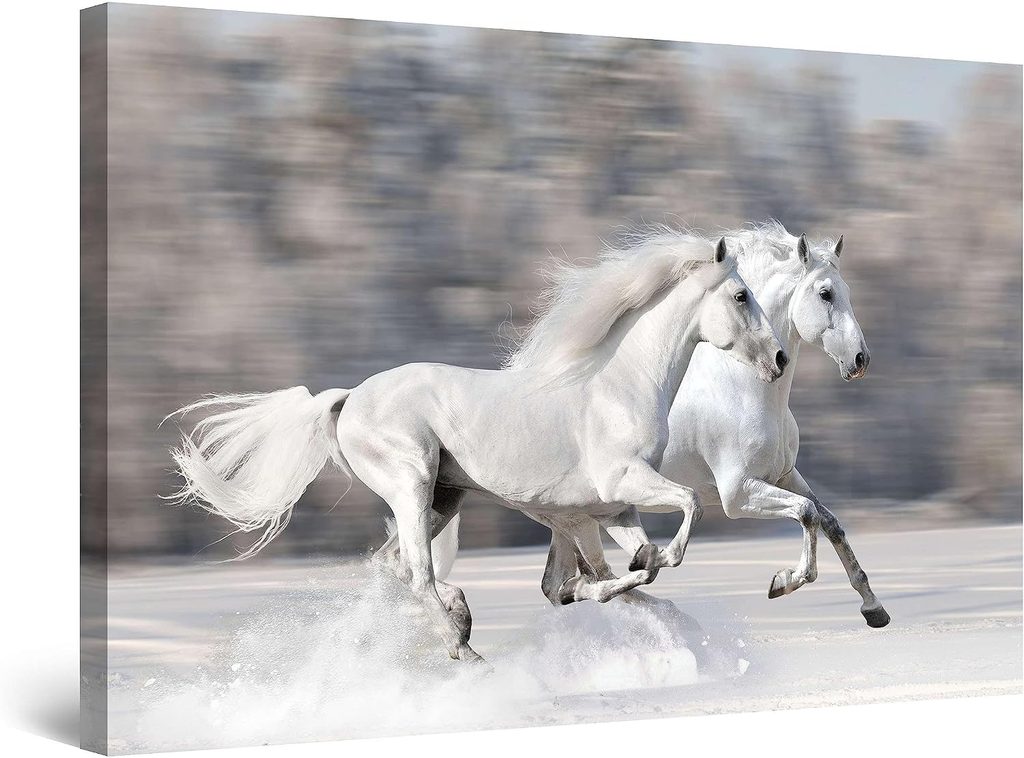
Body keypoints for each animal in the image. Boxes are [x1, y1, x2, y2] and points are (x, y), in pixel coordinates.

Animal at [166, 233, 788, 663]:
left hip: (445, 498)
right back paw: (462, 644)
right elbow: (681, 515)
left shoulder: (611, 510)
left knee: (395, 568)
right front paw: (634, 574)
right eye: (741, 295)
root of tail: (349, 399)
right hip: (412, 485)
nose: (779, 359)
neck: (618, 386)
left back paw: (460, 619)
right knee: (415, 573)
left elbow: (620, 572)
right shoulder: (615, 492)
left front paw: (642, 587)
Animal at [463, 222, 890, 627]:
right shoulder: (738, 493)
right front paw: (784, 581)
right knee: (582, 579)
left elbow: (828, 521)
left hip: (570, 517)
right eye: (825, 294)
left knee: (561, 584)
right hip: (575, 515)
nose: (860, 359)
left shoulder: (784, 474)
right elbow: (805, 513)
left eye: (846, 291)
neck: (743, 388)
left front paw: (874, 609)